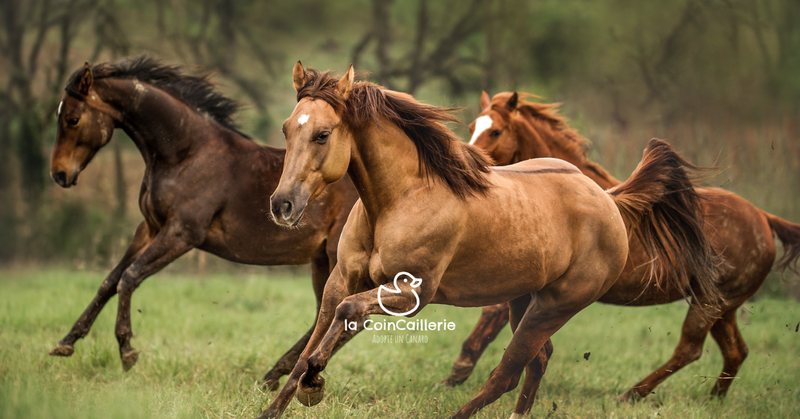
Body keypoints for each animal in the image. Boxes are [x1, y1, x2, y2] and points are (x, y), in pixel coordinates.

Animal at [49, 57, 361, 389]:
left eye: (72, 119)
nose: (59, 174)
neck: (186, 154)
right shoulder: (150, 228)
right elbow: (110, 281)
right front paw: (66, 342)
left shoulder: (182, 233)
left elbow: (129, 277)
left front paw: (127, 350)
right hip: (321, 261)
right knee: (325, 317)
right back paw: (273, 375)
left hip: (337, 258)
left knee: (345, 319)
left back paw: (282, 374)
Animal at [257, 63, 721, 419]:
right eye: (286, 129)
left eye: (322, 134)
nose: (282, 204)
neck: (399, 199)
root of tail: (609, 198)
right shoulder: (341, 280)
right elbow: (314, 339)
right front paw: (279, 402)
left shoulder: (412, 294)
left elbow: (342, 319)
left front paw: (314, 383)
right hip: (522, 300)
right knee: (537, 362)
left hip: (555, 305)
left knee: (508, 371)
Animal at [446, 91, 800, 401]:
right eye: (472, 126)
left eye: (495, 130)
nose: (466, 162)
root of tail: (764, 218)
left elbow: (494, 313)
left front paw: (458, 371)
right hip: (723, 307)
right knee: (735, 351)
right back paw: (713, 400)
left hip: (709, 304)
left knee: (690, 349)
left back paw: (632, 394)